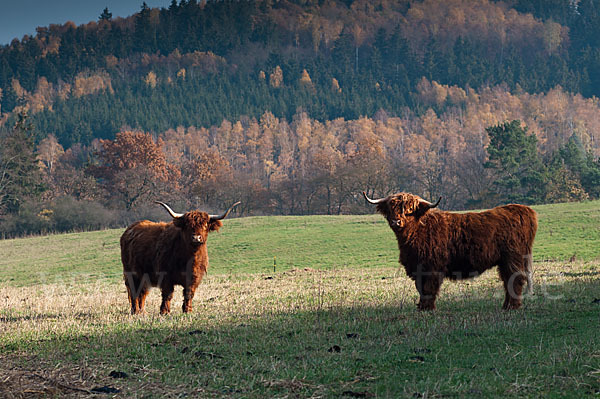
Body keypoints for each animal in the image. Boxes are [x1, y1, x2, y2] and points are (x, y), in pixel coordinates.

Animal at [364, 192, 536, 310]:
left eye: (410, 209)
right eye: (390, 209)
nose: (396, 221)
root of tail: (522, 209)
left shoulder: (431, 267)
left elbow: (429, 288)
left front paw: (427, 308)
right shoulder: (417, 267)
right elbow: (421, 288)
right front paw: (421, 307)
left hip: (512, 258)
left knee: (515, 280)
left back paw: (512, 306)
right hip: (505, 261)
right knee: (508, 281)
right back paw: (506, 305)